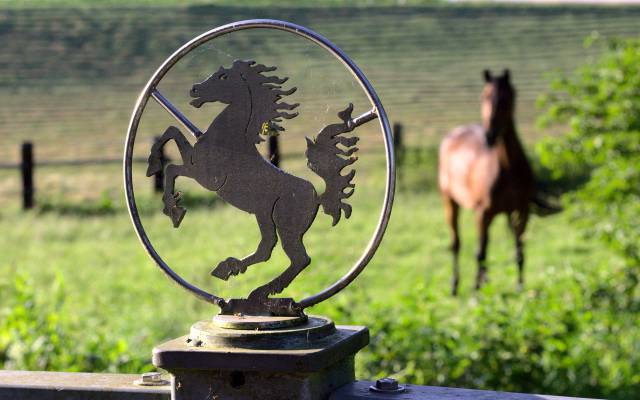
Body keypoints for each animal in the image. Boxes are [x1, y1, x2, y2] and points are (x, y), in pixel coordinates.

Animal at [440, 69, 536, 296]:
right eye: (484, 96)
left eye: (507, 98)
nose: (490, 134)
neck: (508, 169)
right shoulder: (483, 212)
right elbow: (480, 252)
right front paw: (476, 291)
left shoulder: (521, 211)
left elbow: (519, 250)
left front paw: (520, 287)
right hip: (450, 202)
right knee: (457, 243)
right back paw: (455, 284)